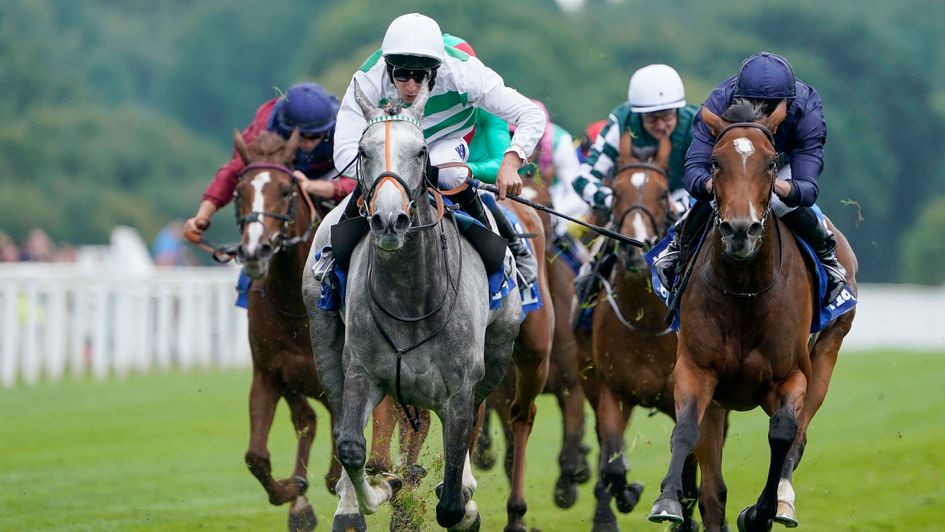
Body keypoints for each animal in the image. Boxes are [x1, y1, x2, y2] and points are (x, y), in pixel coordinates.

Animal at [232, 130, 340, 532]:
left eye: (285, 190)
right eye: (240, 191)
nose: (254, 250)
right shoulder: (270, 372)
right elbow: (256, 456)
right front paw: (294, 492)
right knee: (307, 421)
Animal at [304, 80, 520, 532]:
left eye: (421, 150)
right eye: (362, 151)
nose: (389, 220)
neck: (411, 297)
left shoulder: (460, 389)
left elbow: (452, 496)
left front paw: (464, 502)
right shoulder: (362, 371)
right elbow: (352, 446)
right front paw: (378, 489)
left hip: (499, 349)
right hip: (324, 340)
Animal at [644, 101, 860, 532]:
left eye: (772, 162)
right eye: (714, 162)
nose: (740, 230)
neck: (745, 291)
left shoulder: (792, 375)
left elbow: (783, 434)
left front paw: (761, 512)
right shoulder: (696, 368)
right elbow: (686, 429)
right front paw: (667, 500)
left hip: (827, 356)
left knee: (799, 437)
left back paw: (784, 502)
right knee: (713, 491)